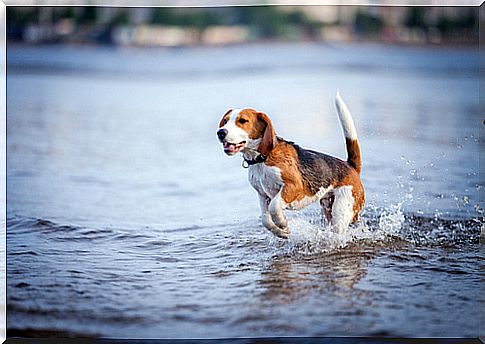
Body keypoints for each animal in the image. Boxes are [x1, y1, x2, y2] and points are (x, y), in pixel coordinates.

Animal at [216, 90, 364, 239]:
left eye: (242, 121)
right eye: (225, 121)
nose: (221, 132)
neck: (262, 158)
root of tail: (350, 166)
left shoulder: (293, 186)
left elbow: (274, 207)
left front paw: (282, 224)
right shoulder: (262, 194)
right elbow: (265, 220)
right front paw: (282, 232)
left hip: (341, 211)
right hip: (327, 207)